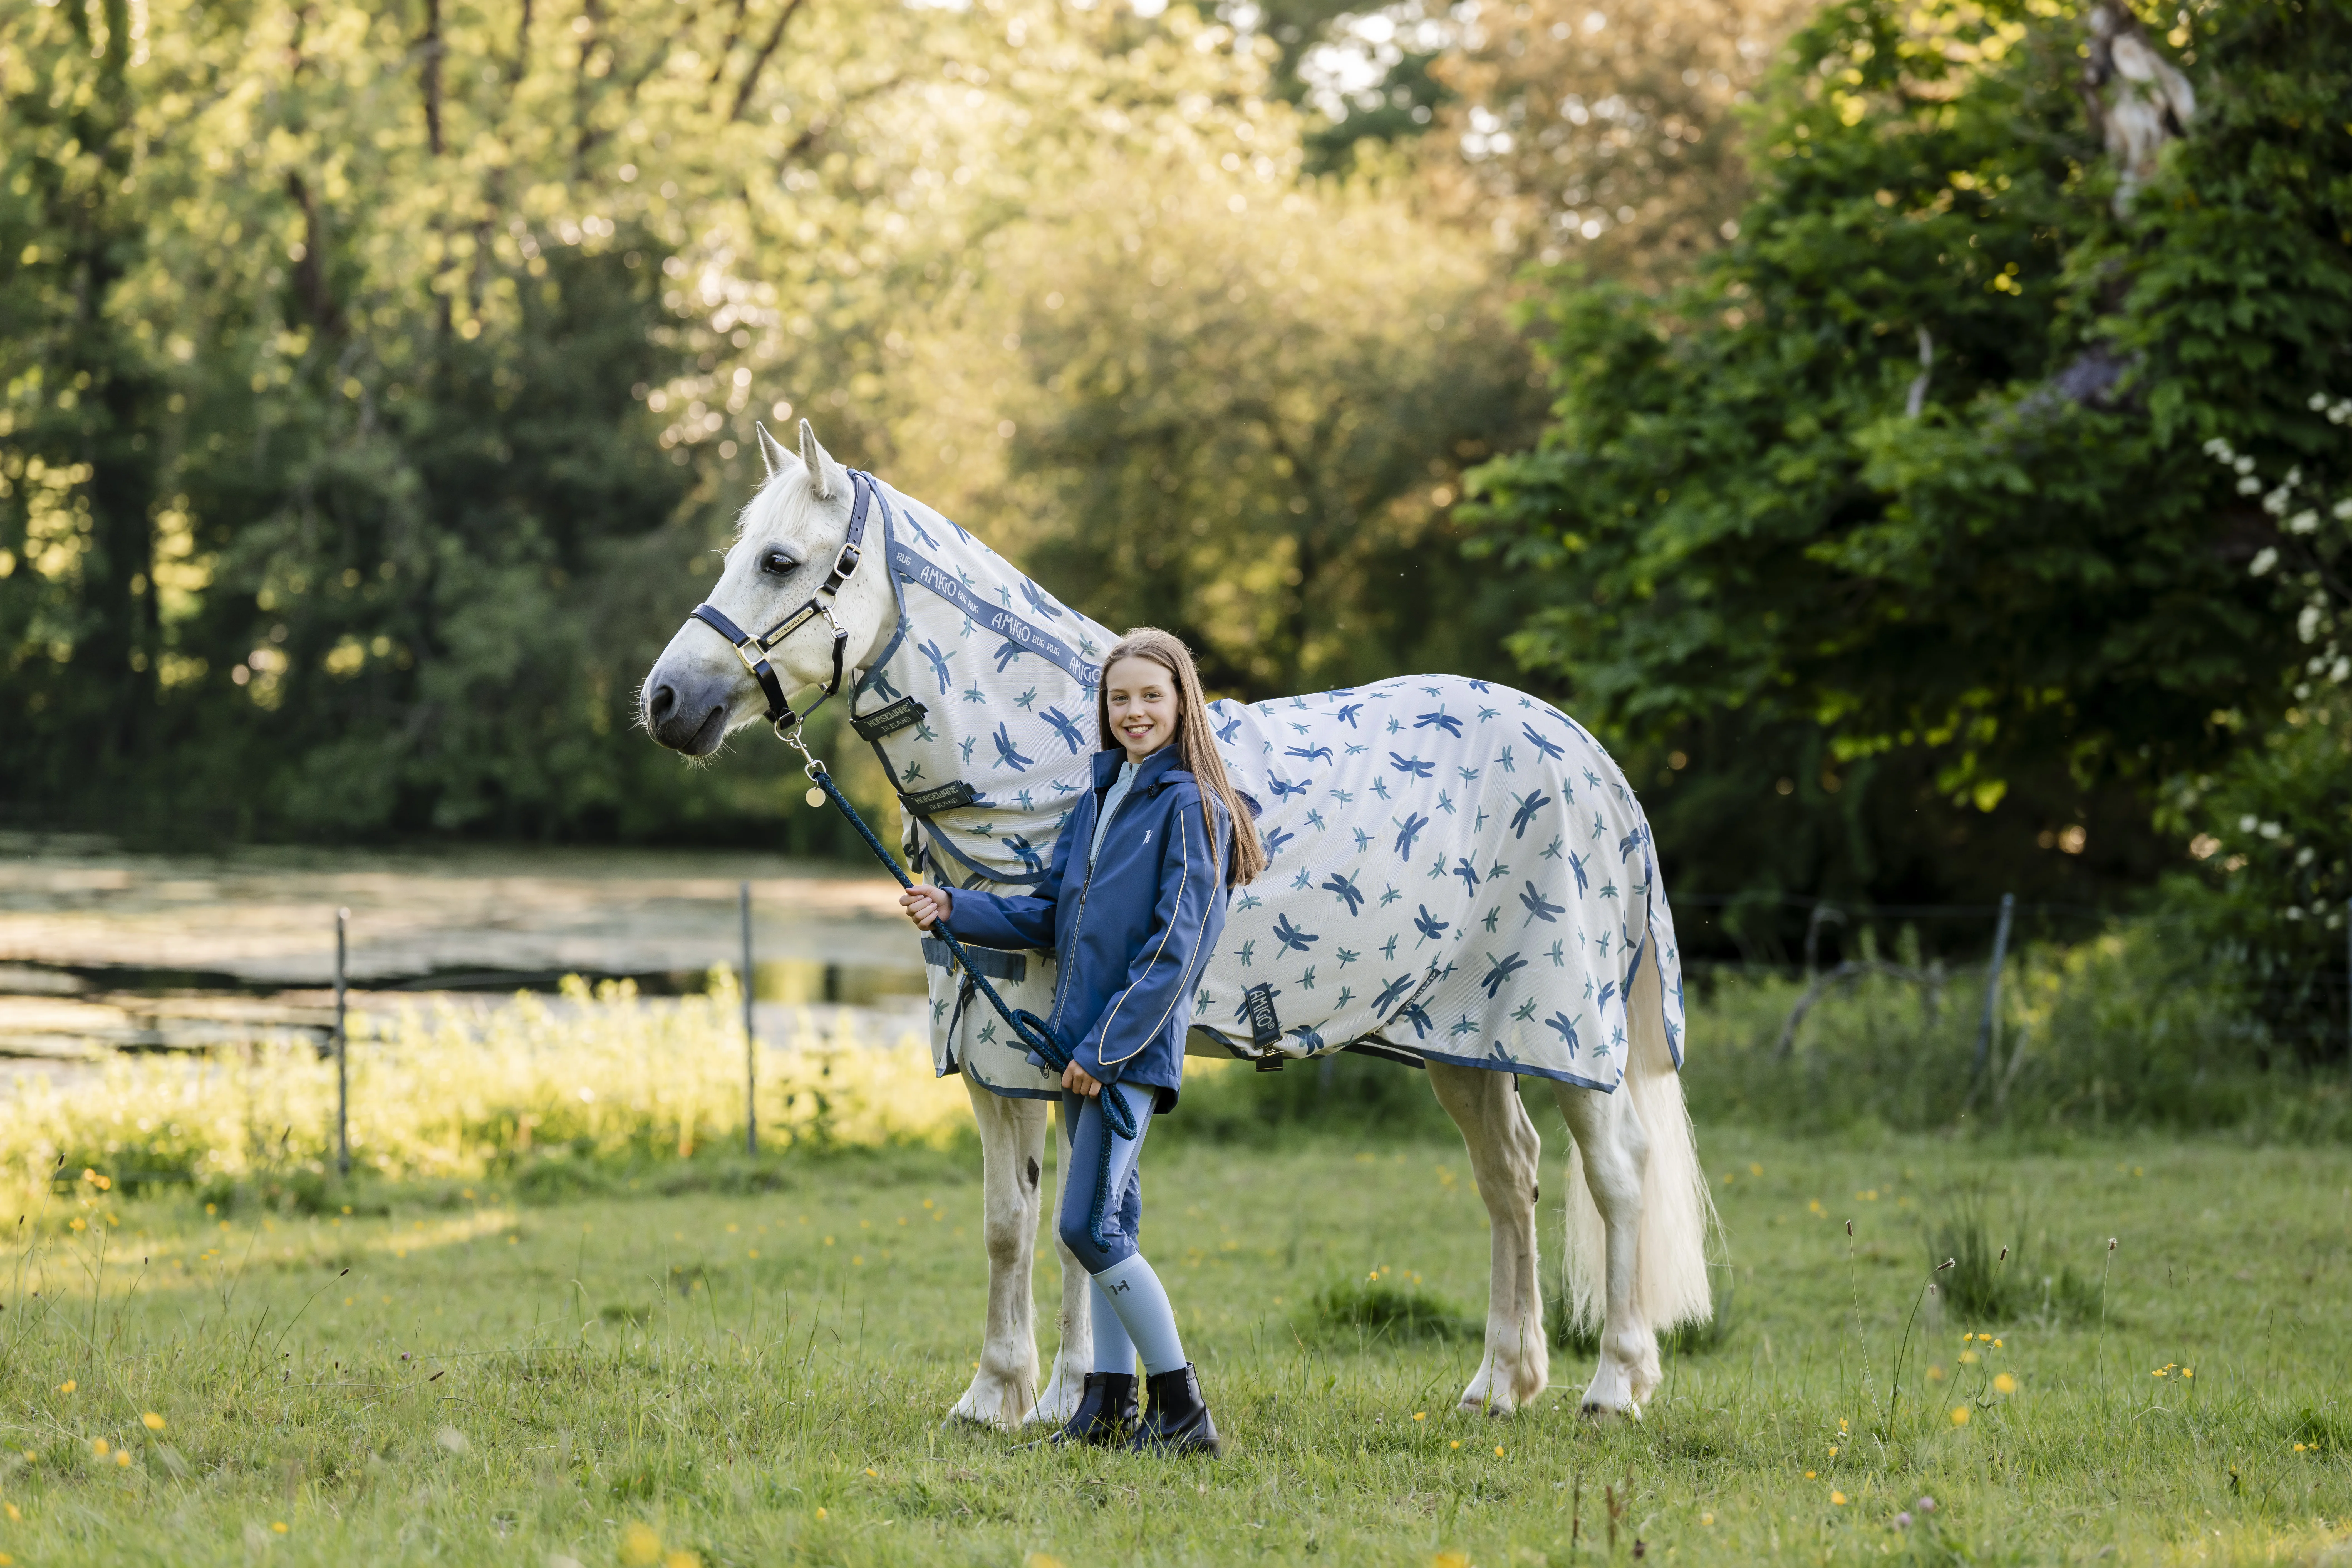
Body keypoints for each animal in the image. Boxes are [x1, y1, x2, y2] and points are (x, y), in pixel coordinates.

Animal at [640, 419, 1716, 1427]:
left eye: (780, 560)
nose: (664, 701)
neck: (1054, 779)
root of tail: (1585, 755)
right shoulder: (997, 1052)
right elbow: (1010, 1221)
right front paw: (996, 1397)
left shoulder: (1063, 1048)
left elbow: (1069, 1234)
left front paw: (1063, 1394)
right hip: (1465, 1039)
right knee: (1507, 1175)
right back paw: (1499, 1382)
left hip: (1564, 1032)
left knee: (1615, 1173)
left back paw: (1613, 1383)